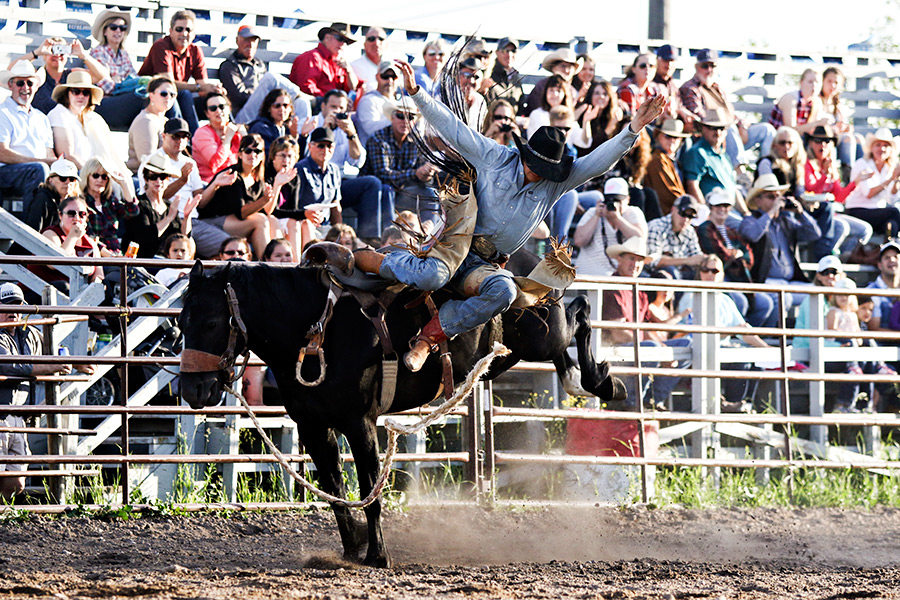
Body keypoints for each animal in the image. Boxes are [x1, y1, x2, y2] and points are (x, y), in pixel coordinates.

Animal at [178, 254, 624, 568]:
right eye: (182, 321)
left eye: (213, 321)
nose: (192, 388)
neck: (317, 332)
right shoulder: (313, 427)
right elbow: (336, 491)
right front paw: (351, 550)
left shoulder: (360, 423)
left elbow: (369, 491)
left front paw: (378, 556)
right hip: (529, 344)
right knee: (573, 325)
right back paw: (584, 379)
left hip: (545, 334)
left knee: (580, 310)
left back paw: (603, 381)